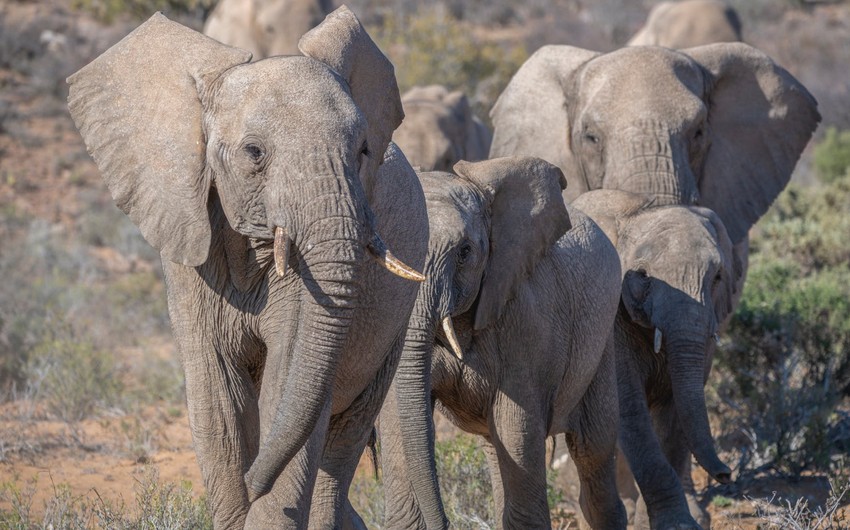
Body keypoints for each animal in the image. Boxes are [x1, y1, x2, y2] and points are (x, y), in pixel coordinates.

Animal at [66, 8, 428, 528]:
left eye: (363, 150)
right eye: (254, 153)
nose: (255, 482)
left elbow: (289, 382)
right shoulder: (190, 244)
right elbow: (219, 401)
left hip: (396, 323)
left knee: (344, 438)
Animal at [380, 157, 628, 528]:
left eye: (465, 252)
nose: (448, 522)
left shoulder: (525, 324)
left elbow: (517, 428)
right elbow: (397, 413)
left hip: (601, 339)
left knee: (593, 451)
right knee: (495, 450)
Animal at [568, 190, 744, 528]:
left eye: (717, 276)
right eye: (643, 276)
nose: (727, 474)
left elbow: (675, 408)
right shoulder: (609, 315)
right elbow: (630, 407)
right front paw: (675, 523)